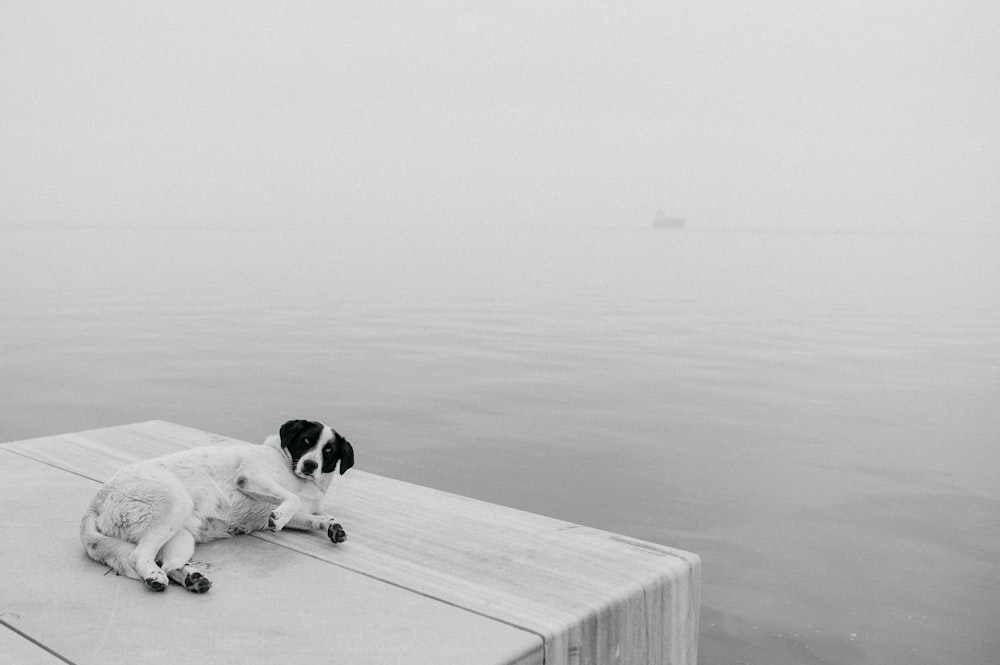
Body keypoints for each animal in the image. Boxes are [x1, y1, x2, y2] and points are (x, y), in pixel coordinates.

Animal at [82, 418, 356, 592]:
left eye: (328, 451)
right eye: (306, 441)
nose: (310, 465)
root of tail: (96, 501)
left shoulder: (294, 509)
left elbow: (312, 517)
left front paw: (331, 526)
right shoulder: (251, 477)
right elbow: (291, 500)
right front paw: (280, 517)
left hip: (180, 535)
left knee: (169, 564)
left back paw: (191, 579)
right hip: (175, 504)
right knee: (140, 556)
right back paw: (154, 576)